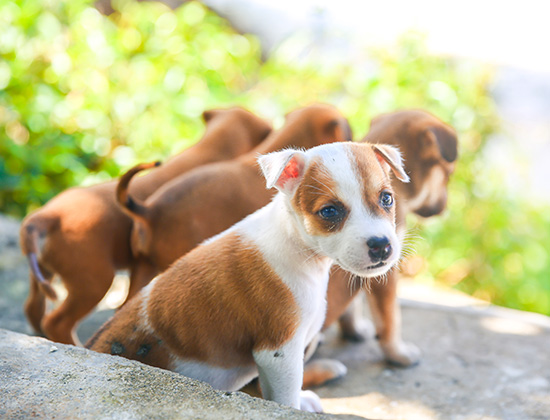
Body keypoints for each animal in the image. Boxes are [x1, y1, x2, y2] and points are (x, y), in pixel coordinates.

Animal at [18, 107, 272, 344]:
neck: (212, 146)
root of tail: (47, 217)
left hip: (45, 274)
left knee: (33, 308)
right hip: (93, 281)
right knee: (58, 321)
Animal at [88, 142, 412, 414]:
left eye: (386, 198)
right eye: (329, 211)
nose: (381, 245)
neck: (296, 245)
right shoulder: (279, 352)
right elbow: (285, 396)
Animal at [304, 109, 460, 388]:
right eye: (449, 173)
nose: (444, 207)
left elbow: (352, 307)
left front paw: (355, 330)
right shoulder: (384, 269)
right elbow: (390, 319)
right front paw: (399, 354)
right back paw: (326, 370)